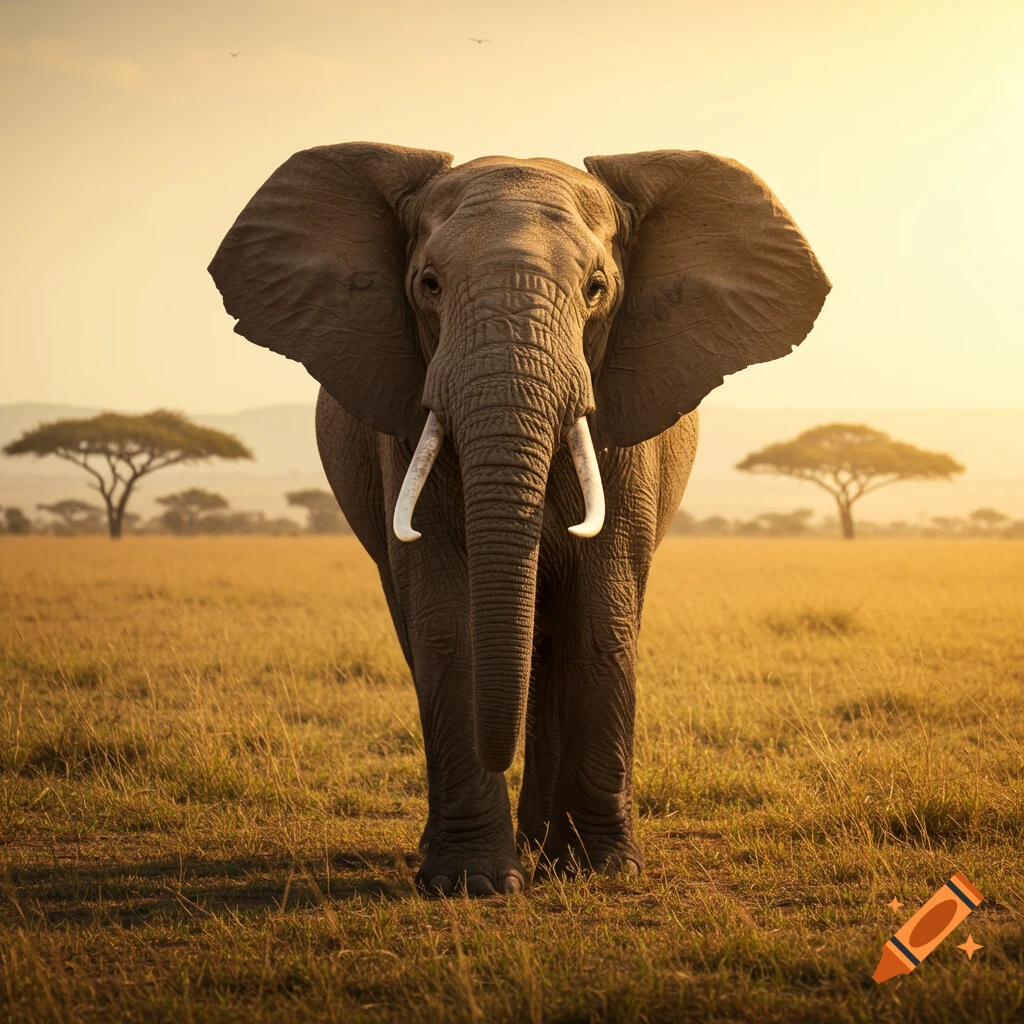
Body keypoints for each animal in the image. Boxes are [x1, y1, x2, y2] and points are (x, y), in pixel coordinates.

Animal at [209, 143, 829, 896]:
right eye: (428, 284)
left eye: (596, 288)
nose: (496, 755)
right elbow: (446, 618)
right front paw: (471, 883)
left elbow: (602, 610)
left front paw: (602, 872)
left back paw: (545, 846)